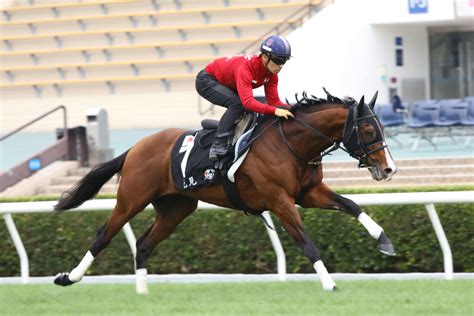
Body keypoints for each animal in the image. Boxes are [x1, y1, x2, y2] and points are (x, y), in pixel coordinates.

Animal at [53, 89, 398, 292]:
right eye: (369, 129)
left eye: (382, 126)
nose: (389, 169)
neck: (291, 143)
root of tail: (136, 146)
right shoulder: (279, 200)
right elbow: (305, 241)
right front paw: (328, 282)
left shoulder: (308, 193)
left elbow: (352, 205)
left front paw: (384, 241)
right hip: (131, 198)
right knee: (104, 235)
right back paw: (69, 277)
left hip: (176, 208)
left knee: (143, 243)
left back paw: (142, 291)